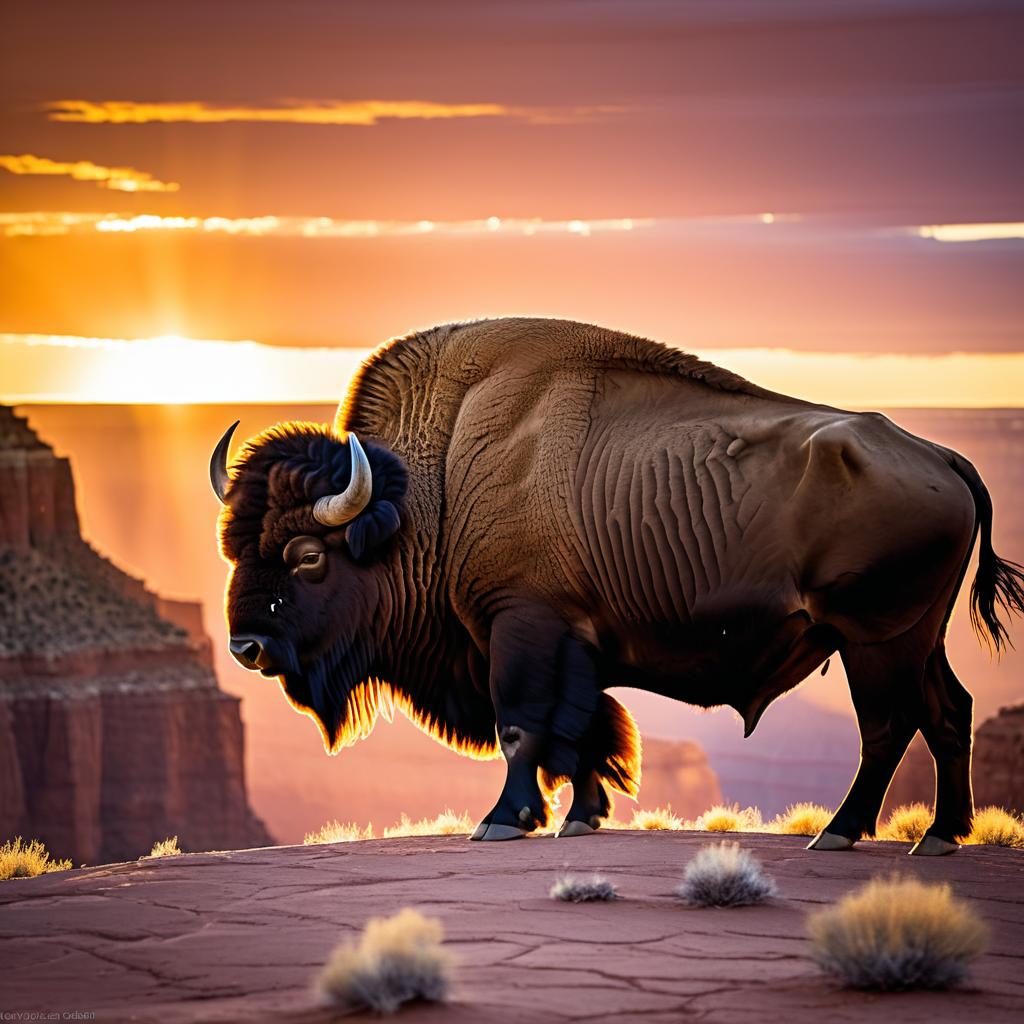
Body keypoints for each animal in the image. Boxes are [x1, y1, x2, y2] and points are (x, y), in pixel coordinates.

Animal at [211, 315, 1019, 851]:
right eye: (231, 547)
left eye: (307, 555)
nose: (247, 647)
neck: (431, 487)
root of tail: (945, 458)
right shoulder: (573, 643)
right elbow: (582, 730)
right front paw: (580, 816)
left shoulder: (520, 627)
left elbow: (524, 726)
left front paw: (501, 822)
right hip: (918, 635)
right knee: (948, 711)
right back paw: (940, 835)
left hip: (873, 638)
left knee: (888, 725)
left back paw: (841, 834)